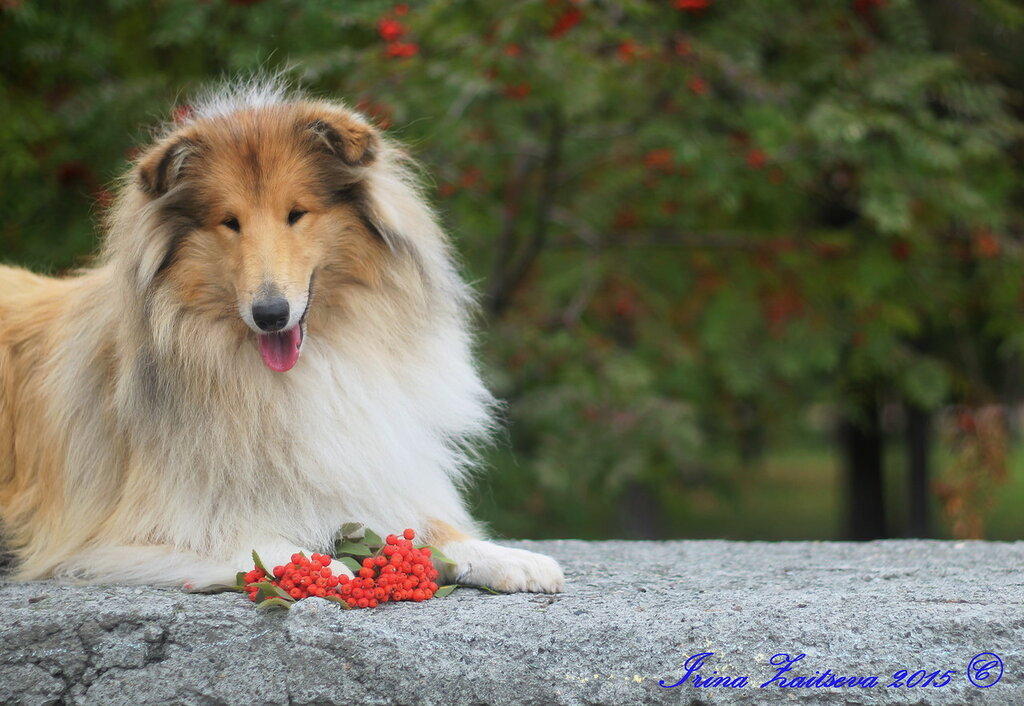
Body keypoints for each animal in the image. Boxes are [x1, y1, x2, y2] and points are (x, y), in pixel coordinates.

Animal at [0, 79, 564, 593]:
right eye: (229, 222)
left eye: (297, 213)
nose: (270, 315)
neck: (290, 375)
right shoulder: (127, 529)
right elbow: (245, 537)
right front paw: (318, 566)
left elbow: (433, 528)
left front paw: (512, 559)